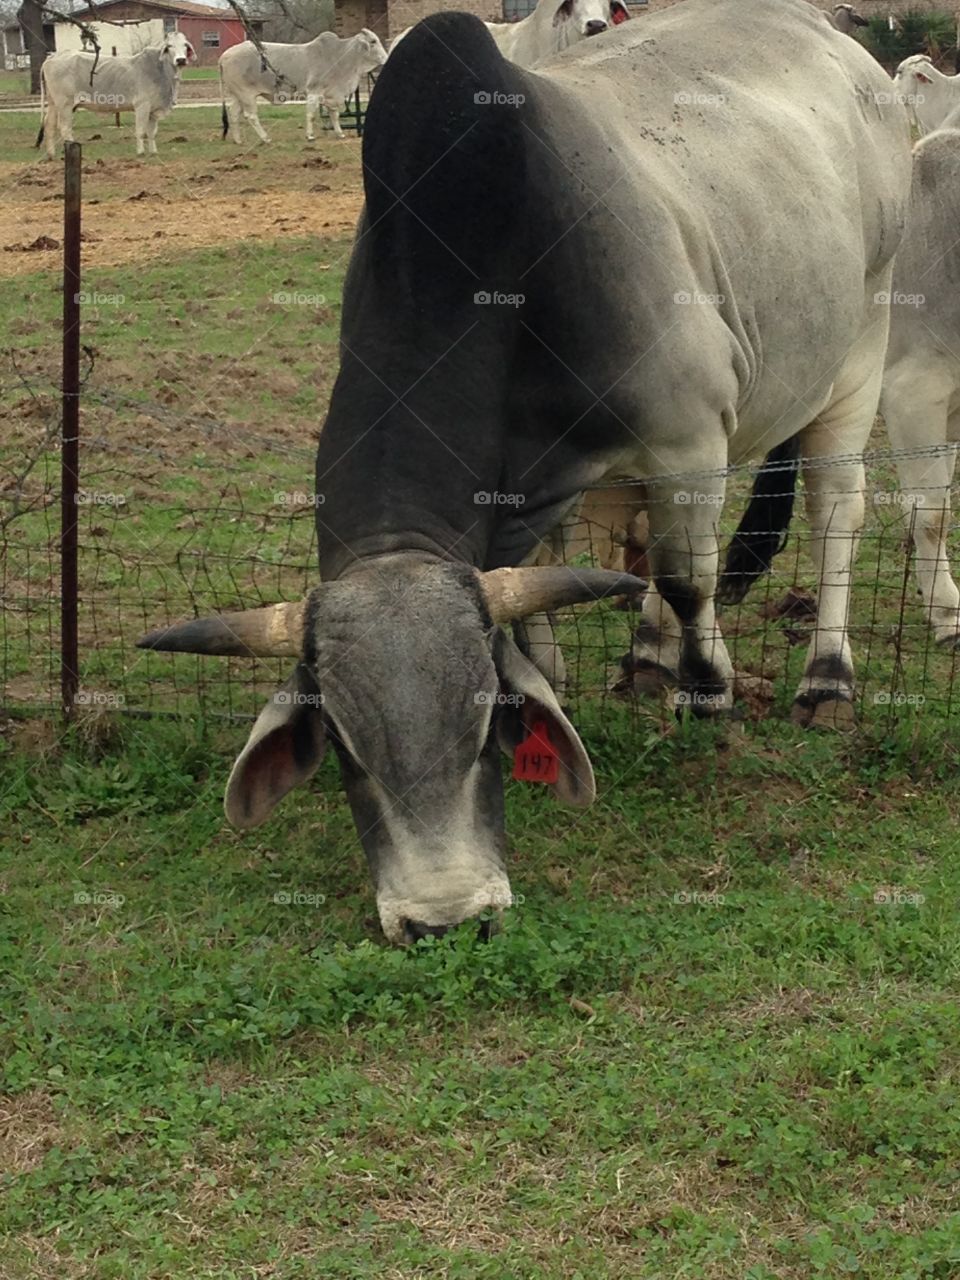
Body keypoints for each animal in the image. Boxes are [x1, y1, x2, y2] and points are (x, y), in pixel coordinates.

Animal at [36, 32, 194, 158]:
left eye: (185, 45)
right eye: (169, 46)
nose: (181, 60)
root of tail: (53, 56)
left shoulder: (153, 110)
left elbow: (152, 133)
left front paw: (153, 152)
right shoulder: (142, 106)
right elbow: (141, 131)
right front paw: (141, 152)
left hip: (53, 103)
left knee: (49, 125)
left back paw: (51, 154)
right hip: (65, 104)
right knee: (64, 127)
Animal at [219, 29, 387, 144]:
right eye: (373, 41)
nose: (385, 58)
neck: (340, 57)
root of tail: (224, 55)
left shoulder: (332, 94)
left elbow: (334, 114)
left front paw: (340, 134)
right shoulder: (314, 91)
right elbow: (311, 114)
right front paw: (310, 136)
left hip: (237, 95)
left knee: (234, 113)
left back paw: (238, 140)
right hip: (246, 94)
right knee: (251, 116)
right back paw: (266, 138)